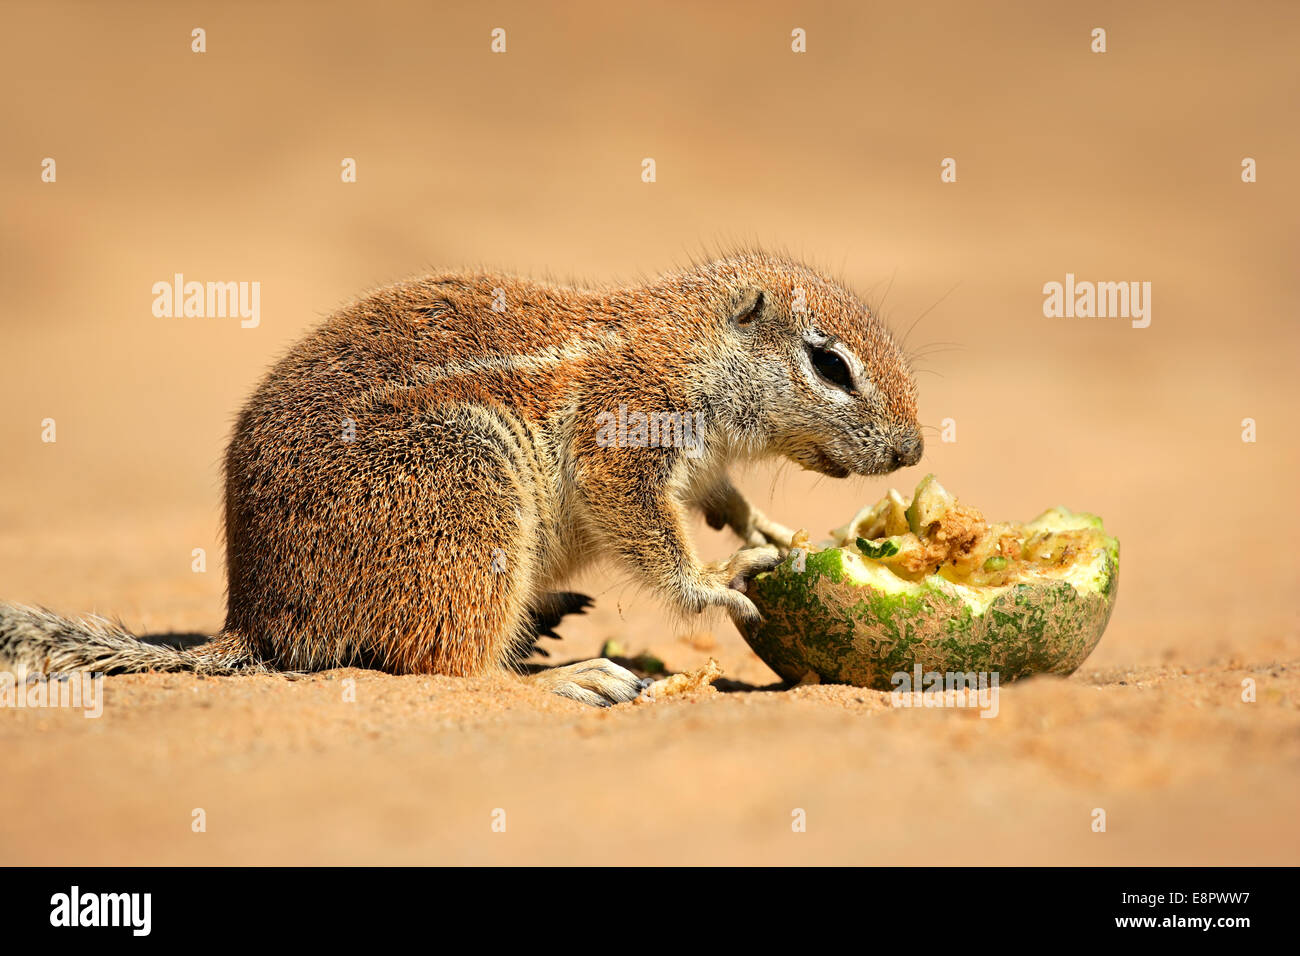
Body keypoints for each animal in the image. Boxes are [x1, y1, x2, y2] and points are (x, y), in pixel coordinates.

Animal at [0, 251, 925, 707]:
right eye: (830, 363)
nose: (913, 450)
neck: (686, 345)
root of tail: (257, 618)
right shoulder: (624, 435)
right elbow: (652, 538)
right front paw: (722, 578)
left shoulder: (696, 464)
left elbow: (716, 496)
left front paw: (763, 527)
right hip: (467, 489)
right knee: (455, 669)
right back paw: (566, 676)